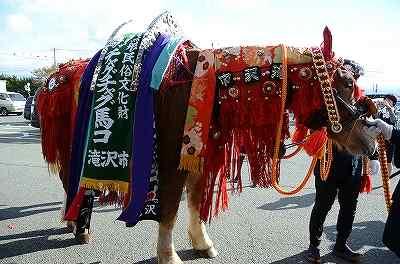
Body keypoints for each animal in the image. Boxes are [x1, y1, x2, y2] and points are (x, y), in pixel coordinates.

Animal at [36, 11, 380, 264]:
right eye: (346, 82)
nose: (370, 143)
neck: (207, 85)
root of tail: (53, 77)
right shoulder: (172, 159)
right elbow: (170, 207)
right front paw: (168, 255)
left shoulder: (198, 152)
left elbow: (194, 200)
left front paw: (202, 243)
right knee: (72, 182)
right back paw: (78, 225)